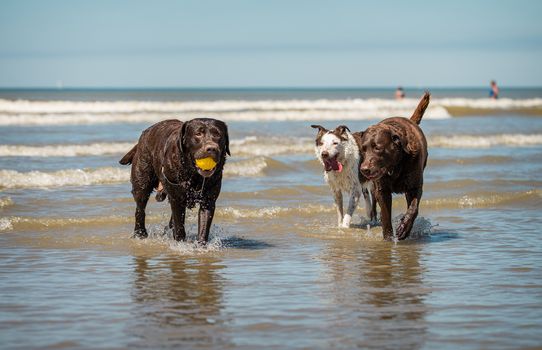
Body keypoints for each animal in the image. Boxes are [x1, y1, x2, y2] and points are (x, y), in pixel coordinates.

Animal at [360, 93, 432, 241]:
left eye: (377, 148)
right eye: (363, 149)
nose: (364, 169)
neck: (395, 166)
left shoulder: (414, 186)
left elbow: (413, 208)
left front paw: (404, 228)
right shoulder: (382, 190)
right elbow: (386, 215)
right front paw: (388, 237)